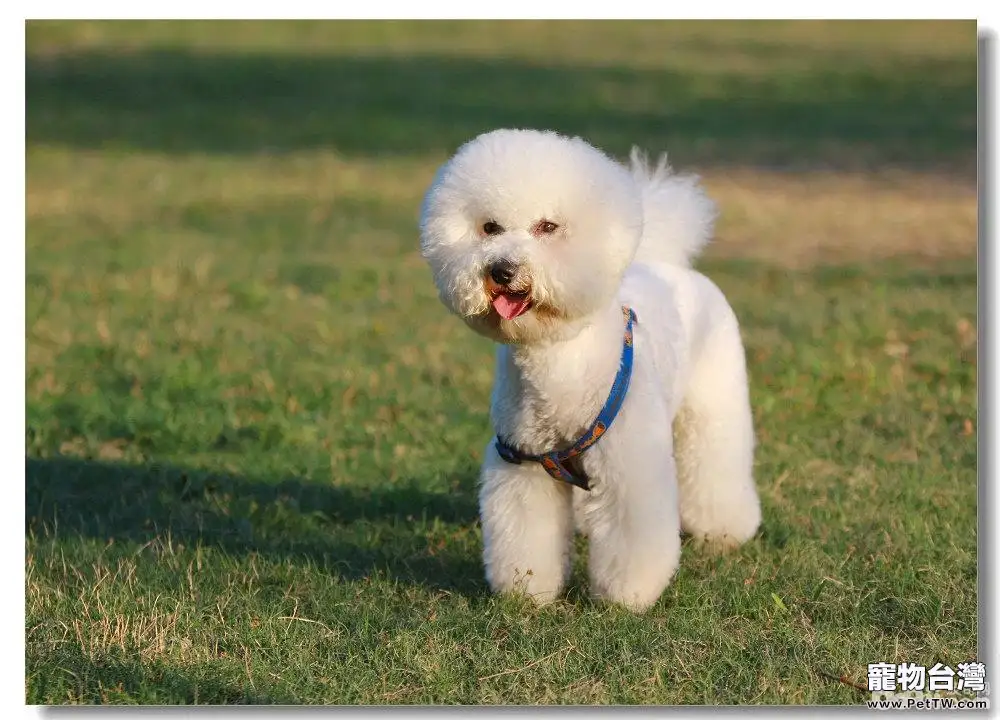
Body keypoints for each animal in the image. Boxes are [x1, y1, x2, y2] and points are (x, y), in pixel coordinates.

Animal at [420, 129, 756, 612]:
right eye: (489, 228)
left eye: (548, 227)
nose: (501, 270)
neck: (556, 359)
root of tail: (669, 263)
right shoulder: (522, 463)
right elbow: (527, 535)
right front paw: (527, 591)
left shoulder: (632, 464)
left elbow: (633, 536)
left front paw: (626, 596)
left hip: (714, 404)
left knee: (716, 463)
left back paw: (725, 531)